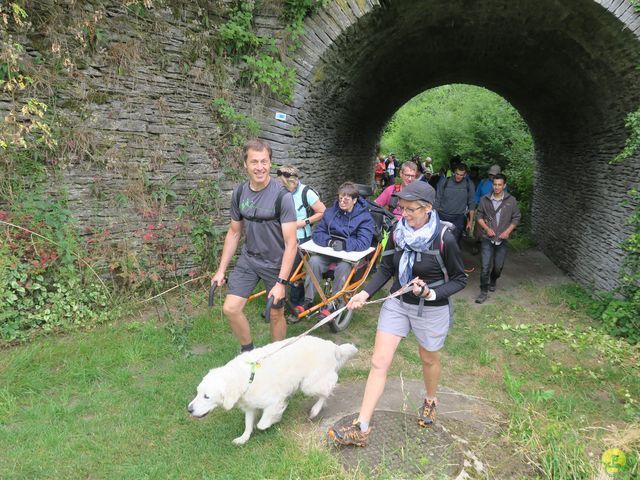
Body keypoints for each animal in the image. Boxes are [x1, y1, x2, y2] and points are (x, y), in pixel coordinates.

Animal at [186, 336, 356, 444]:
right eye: (197, 392)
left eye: (207, 396)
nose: (189, 409)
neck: (247, 377)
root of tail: (332, 345)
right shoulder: (249, 405)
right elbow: (248, 424)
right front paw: (243, 438)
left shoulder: (274, 401)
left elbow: (262, 423)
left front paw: (272, 421)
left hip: (309, 384)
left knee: (329, 386)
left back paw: (315, 410)